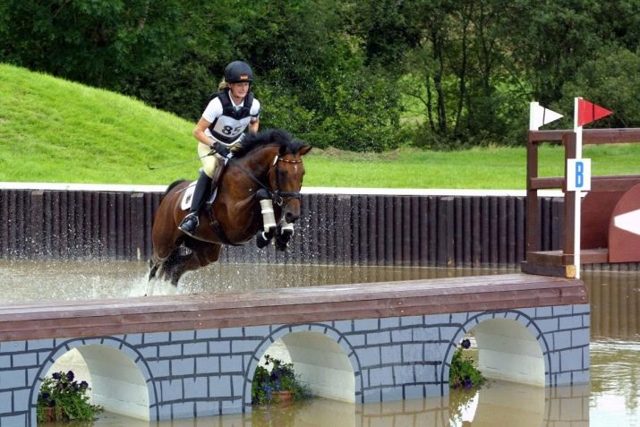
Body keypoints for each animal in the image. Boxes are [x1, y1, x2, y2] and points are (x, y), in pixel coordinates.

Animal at [148, 129, 312, 286]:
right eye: (282, 173)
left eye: (302, 173)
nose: (293, 215)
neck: (249, 176)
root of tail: (171, 194)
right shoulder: (236, 223)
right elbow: (261, 193)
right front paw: (265, 235)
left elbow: (277, 209)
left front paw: (283, 234)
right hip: (164, 243)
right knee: (155, 266)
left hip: (206, 248)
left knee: (176, 267)